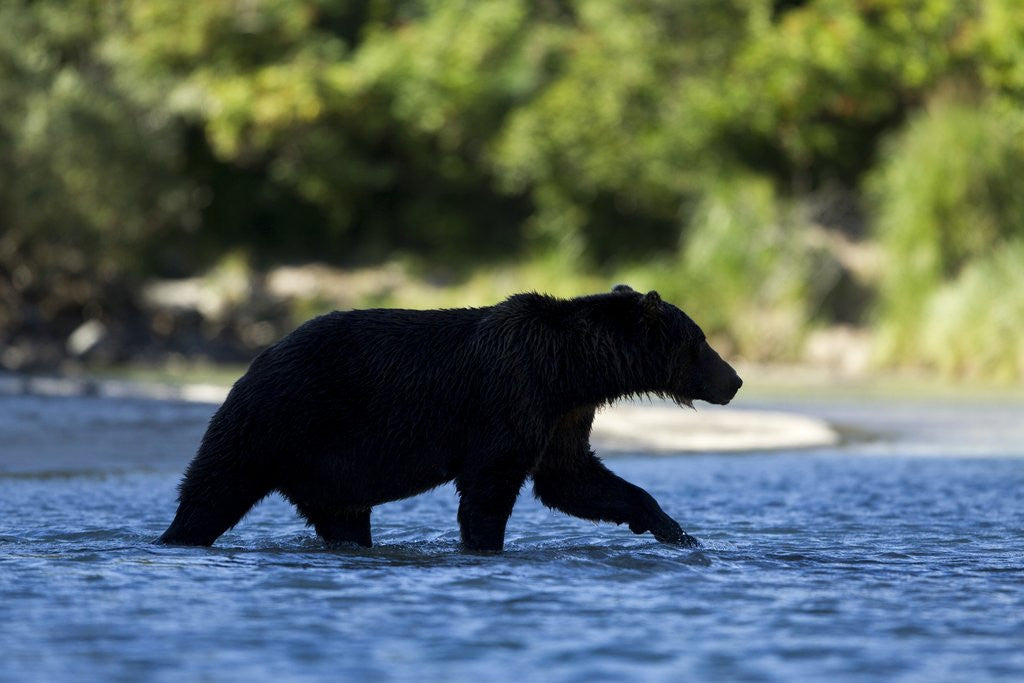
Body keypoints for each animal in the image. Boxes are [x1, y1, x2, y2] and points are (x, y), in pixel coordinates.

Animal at [157, 285, 742, 551]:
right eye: (701, 342)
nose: (734, 380)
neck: (572, 369)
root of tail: (257, 359)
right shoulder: (511, 395)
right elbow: (491, 484)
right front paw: (484, 543)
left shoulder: (561, 414)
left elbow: (571, 478)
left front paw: (674, 530)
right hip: (276, 419)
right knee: (213, 487)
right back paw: (176, 536)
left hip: (328, 473)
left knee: (341, 517)